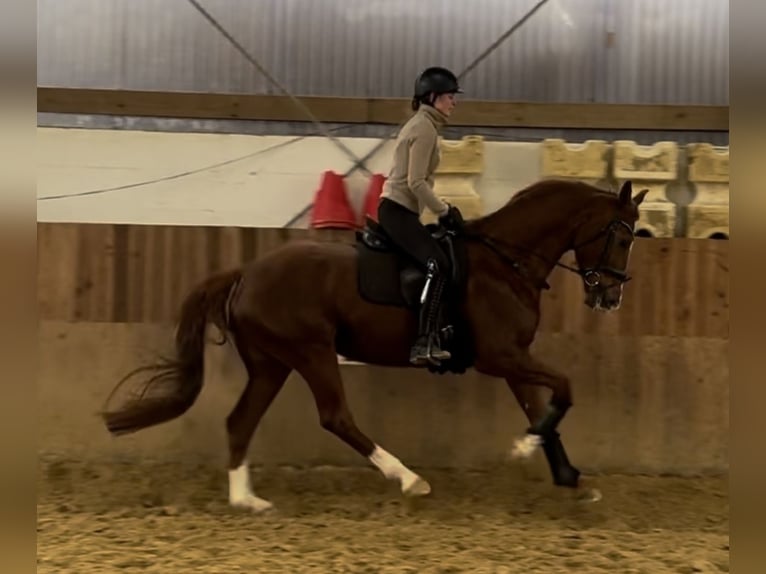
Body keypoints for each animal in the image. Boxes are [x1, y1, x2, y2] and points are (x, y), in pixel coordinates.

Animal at [101, 178, 649, 512]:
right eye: (621, 238)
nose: (610, 297)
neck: (505, 263)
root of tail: (247, 273)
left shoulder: (515, 358)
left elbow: (544, 408)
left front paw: (567, 474)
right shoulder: (501, 357)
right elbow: (565, 389)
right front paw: (525, 448)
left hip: (272, 362)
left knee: (241, 419)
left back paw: (246, 501)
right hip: (311, 352)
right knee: (335, 417)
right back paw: (408, 478)